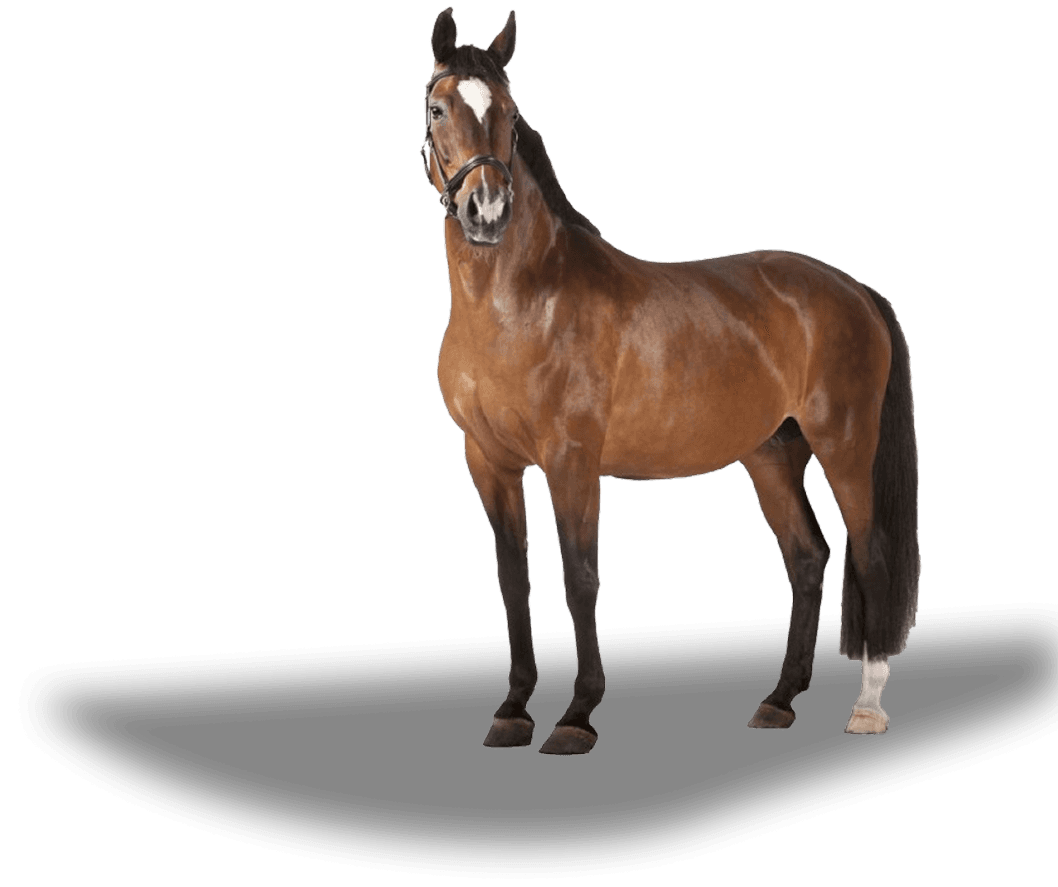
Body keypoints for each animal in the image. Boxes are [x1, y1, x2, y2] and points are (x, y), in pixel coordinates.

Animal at [421, 8, 920, 755]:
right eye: (439, 106)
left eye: (507, 111)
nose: (486, 210)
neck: (523, 303)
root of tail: (852, 288)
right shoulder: (488, 461)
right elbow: (514, 581)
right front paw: (511, 711)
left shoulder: (572, 458)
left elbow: (580, 576)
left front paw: (576, 717)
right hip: (772, 453)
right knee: (808, 559)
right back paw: (777, 702)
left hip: (847, 448)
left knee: (872, 558)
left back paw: (866, 708)